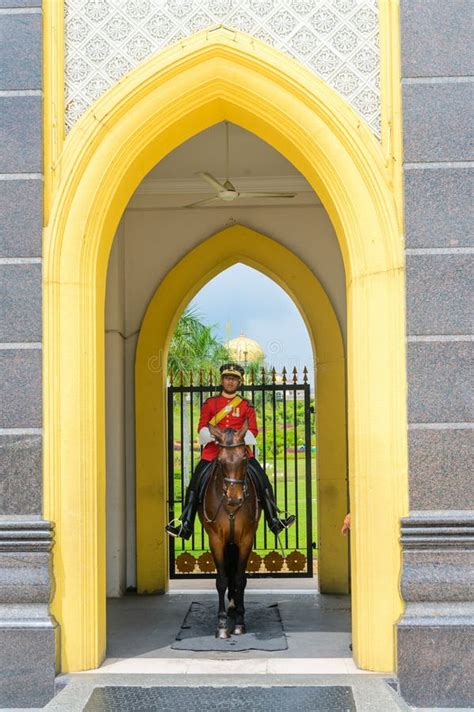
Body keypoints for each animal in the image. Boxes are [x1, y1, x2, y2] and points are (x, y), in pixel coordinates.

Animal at [198, 422, 262, 640]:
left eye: (244, 458)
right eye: (220, 460)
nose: (234, 499)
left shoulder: (246, 539)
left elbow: (240, 579)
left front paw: (240, 622)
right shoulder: (216, 540)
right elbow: (222, 580)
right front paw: (222, 624)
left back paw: (235, 606)